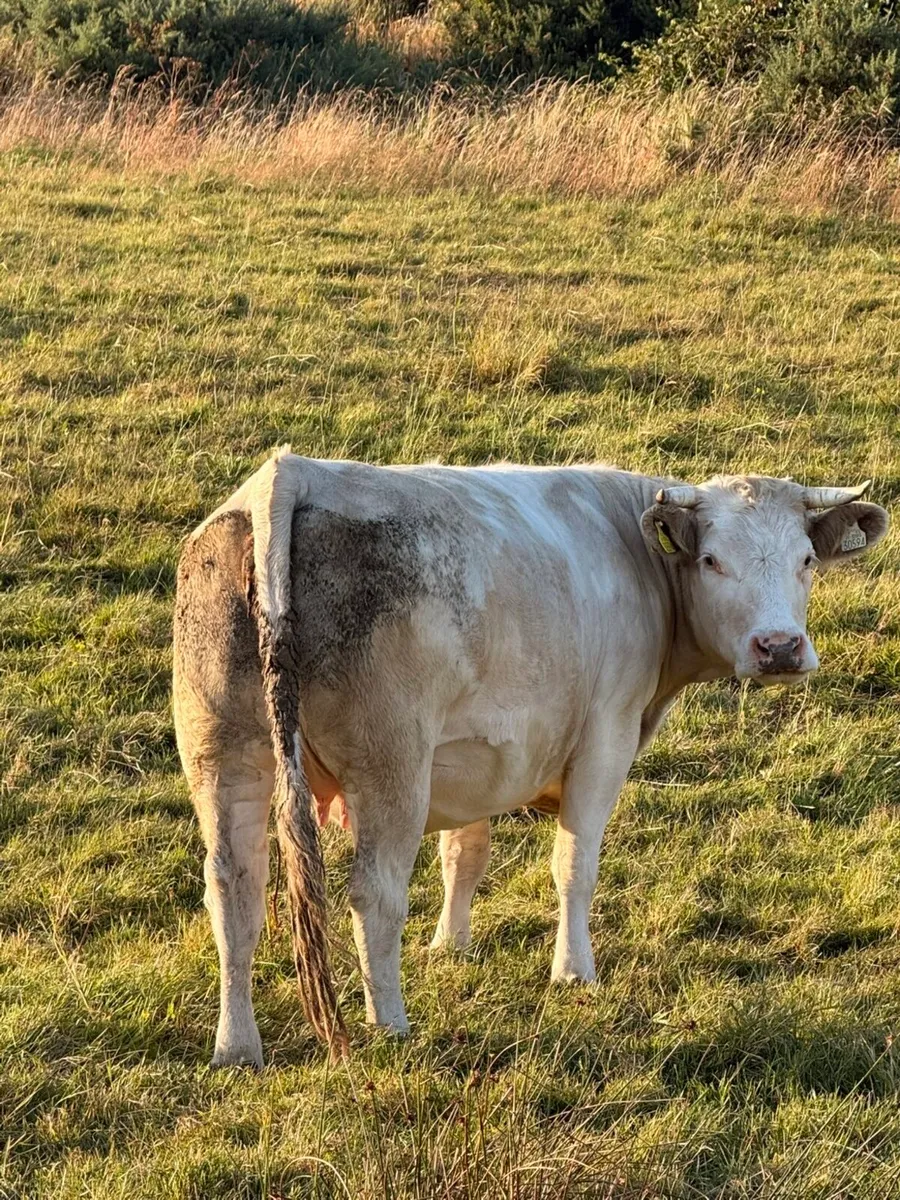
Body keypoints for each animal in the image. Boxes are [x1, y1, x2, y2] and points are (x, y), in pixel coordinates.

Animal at [172, 448, 889, 1067]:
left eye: (805, 559)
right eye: (711, 560)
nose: (779, 647)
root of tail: (290, 473)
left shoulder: (469, 759)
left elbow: (464, 853)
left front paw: (451, 945)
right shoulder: (605, 738)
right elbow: (574, 866)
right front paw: (573, 971)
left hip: (224, 755)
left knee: (233, 891)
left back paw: (237, 1047)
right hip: (390, 765)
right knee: (373, 893)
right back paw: (390, 1025)